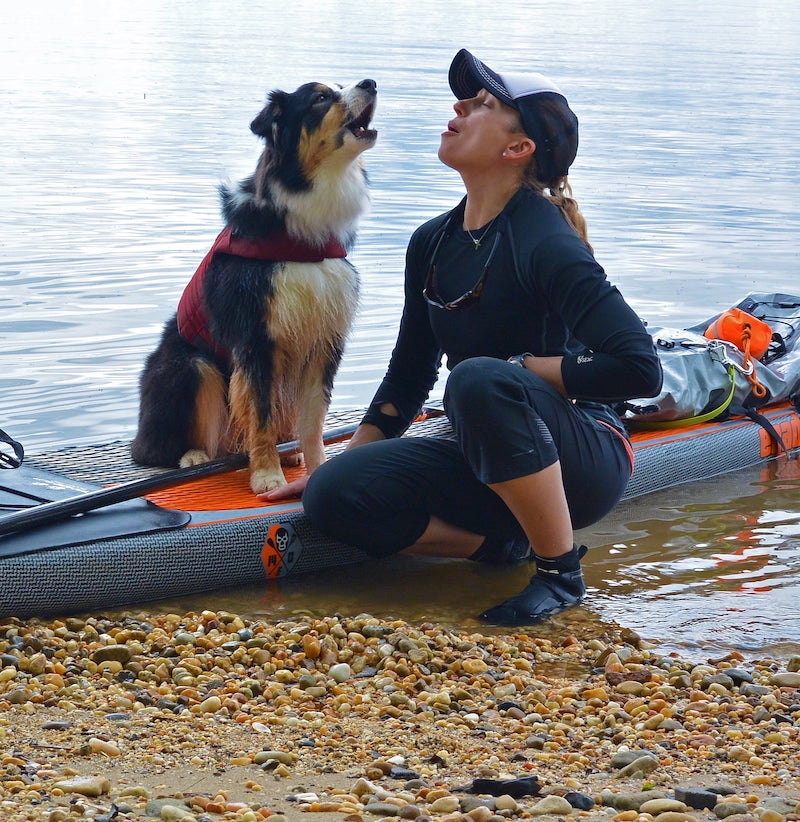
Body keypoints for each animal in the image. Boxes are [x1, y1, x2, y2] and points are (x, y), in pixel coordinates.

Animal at [130, 77, 378, 492]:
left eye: (344, 85)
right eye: (321, 97)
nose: (371, 83)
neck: (303, 241)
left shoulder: (324, 337)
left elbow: (314, 419)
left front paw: (315, 466)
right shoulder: (256, 336)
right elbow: (259, 413)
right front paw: (266, 476)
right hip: (189, 365)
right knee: (153, 449)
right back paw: (192, 455)